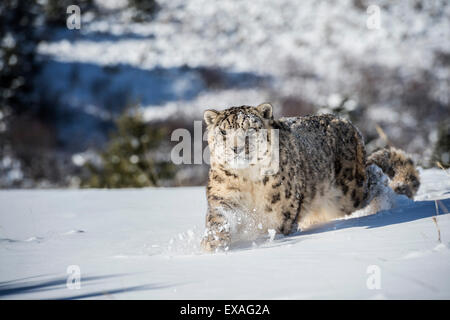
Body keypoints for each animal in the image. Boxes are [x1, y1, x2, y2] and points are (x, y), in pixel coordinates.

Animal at [202, 104, 420, 251]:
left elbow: (274, 229)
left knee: (376, 176)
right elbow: (219, 220)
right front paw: (212, 243)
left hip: (348, 194)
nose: (236, 148)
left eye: (251, 128)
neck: (248, 180)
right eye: (223, 131)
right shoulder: (224, 198)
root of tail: (347, 122)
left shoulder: (281, 211)